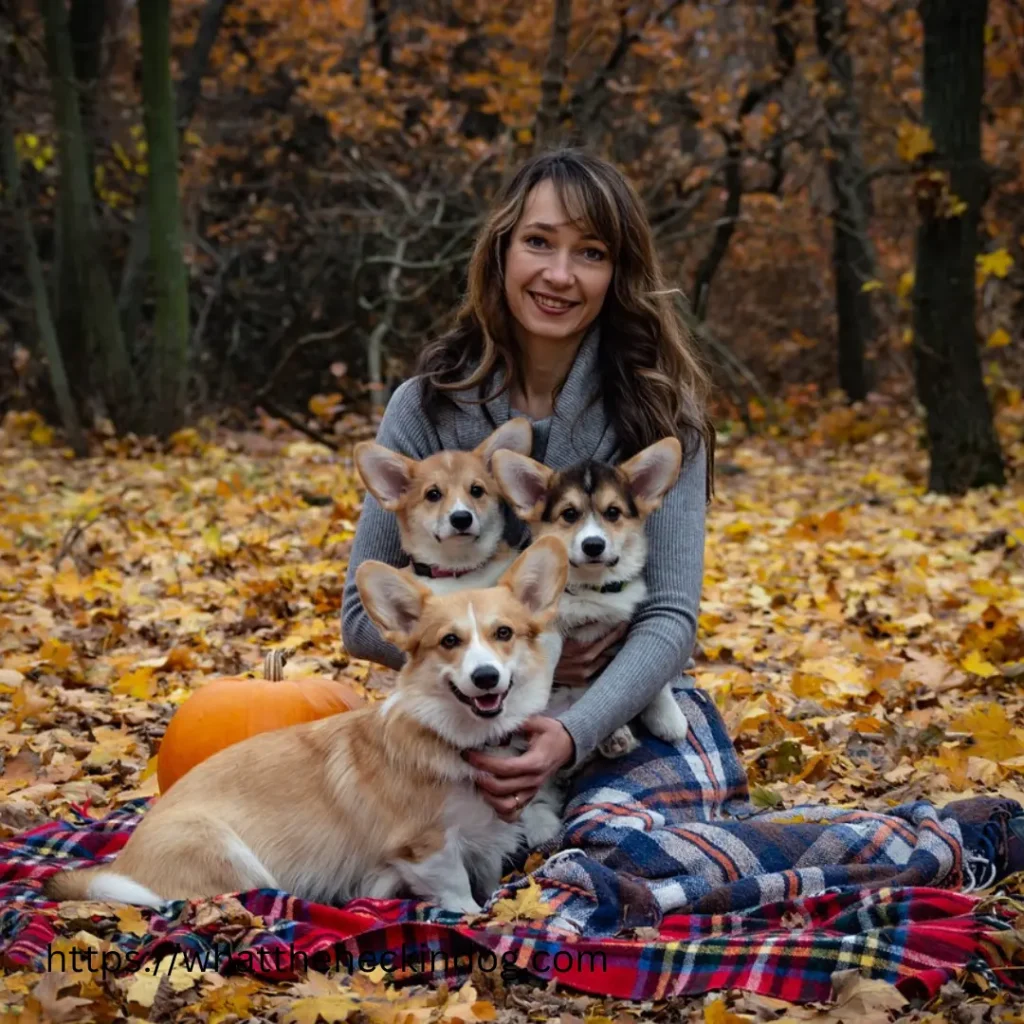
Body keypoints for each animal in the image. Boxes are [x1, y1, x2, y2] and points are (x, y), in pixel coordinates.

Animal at [44, 536, 569, 913]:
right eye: (449, 641)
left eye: (503, 633)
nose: (486, 677)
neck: (462, 739)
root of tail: (121, 863)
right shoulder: (427, 845)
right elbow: (458, 890)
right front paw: (473, 914)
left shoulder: (486, 839)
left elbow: (486, 872)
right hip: (225, 850)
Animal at [489, 436, 688, 757]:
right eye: (569, 514)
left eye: (613, 512)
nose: (593, 545)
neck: (589, 588)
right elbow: (549, 647)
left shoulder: (626, 624)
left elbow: (655, 678)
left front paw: (669, 718)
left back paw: (616, 736)